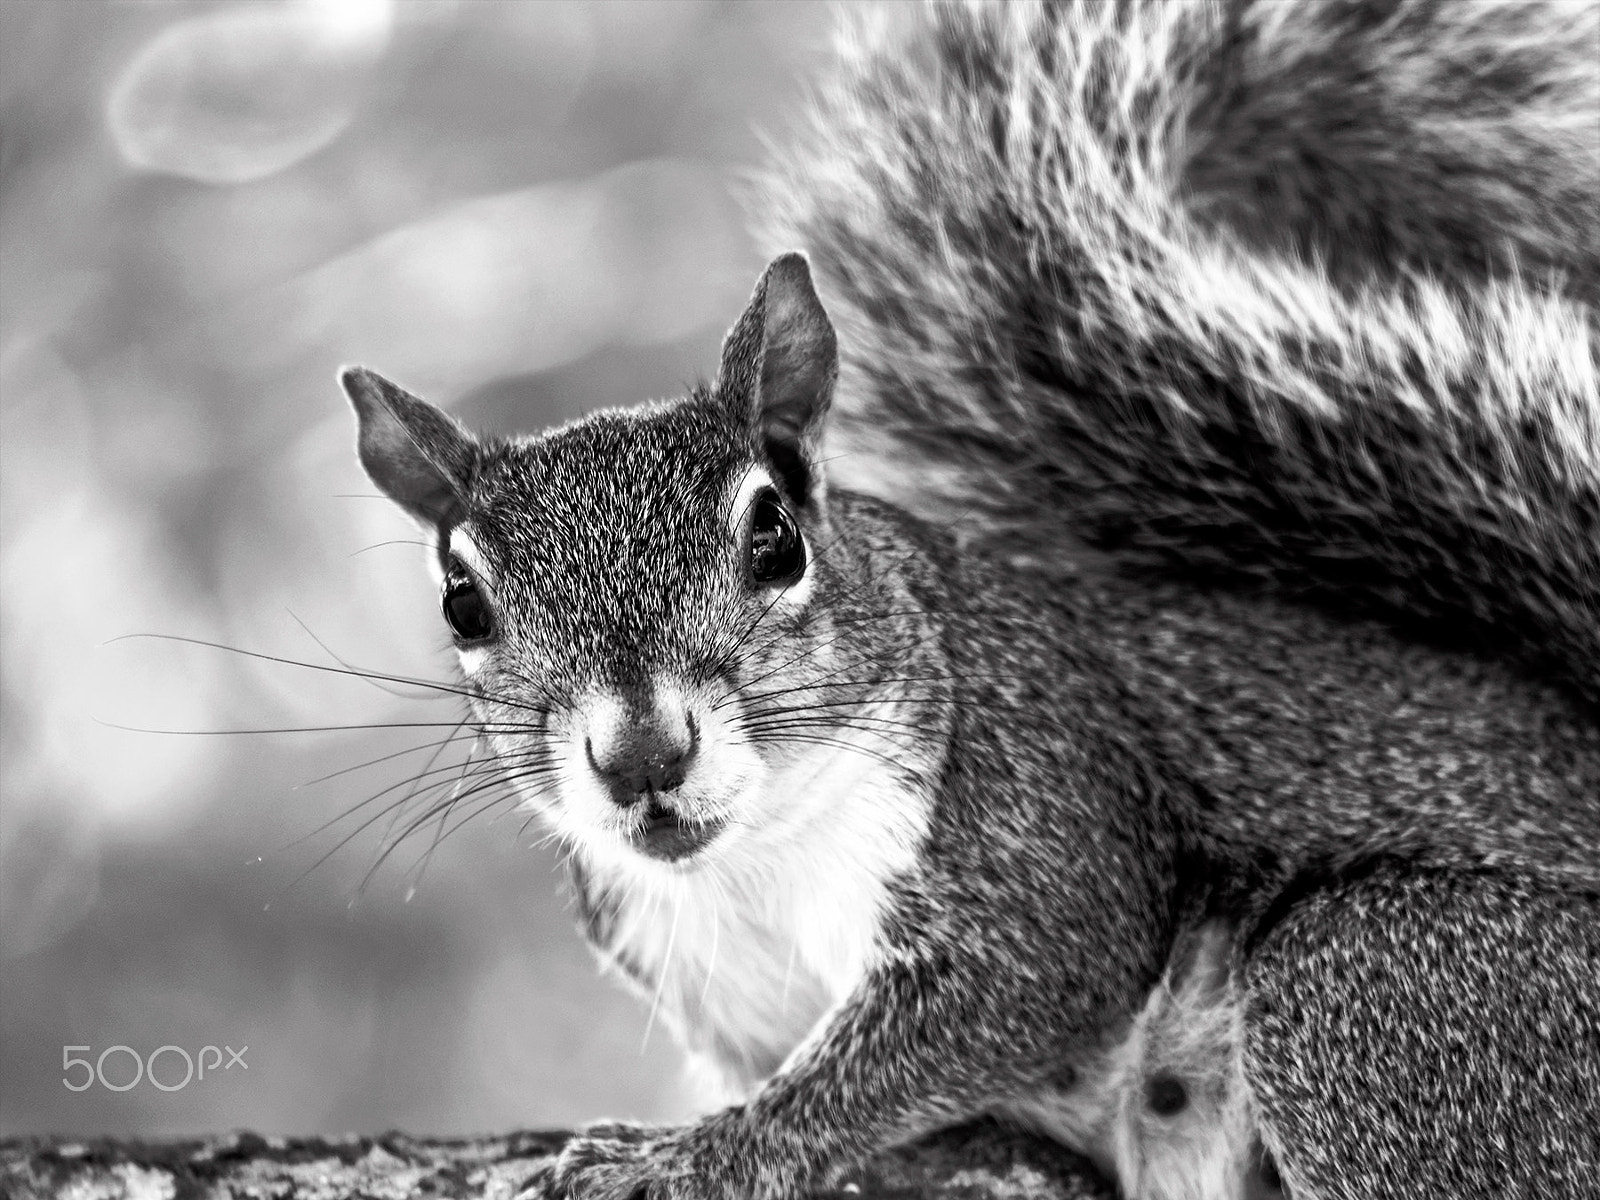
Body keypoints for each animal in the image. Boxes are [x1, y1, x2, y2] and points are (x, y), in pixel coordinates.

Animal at [338, 2, 1599, 1198]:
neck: (753, 864)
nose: (644, 757)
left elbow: (974, 1011)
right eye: (462, 603)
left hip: (1376, 997)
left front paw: (689, 1157)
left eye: (773, 534)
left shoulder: (1045, 812)